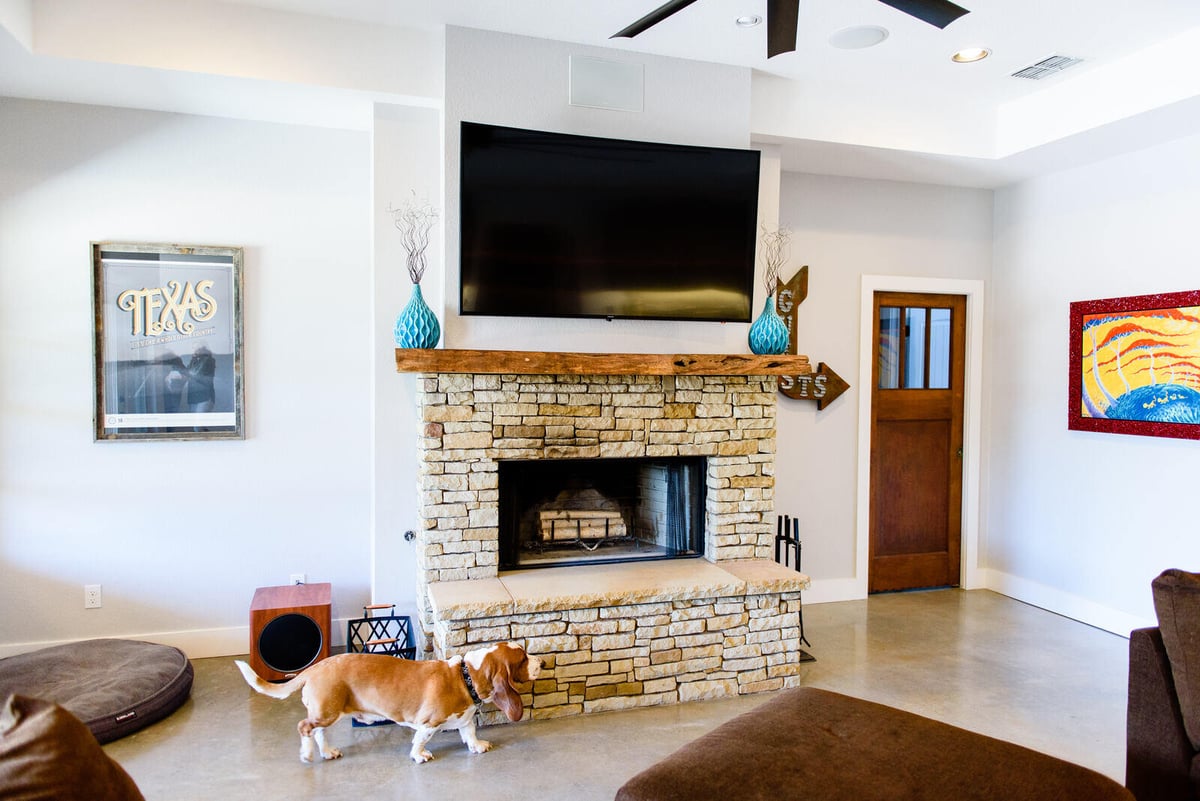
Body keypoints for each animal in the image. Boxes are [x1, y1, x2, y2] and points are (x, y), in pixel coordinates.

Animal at [235, 642, 544, 762]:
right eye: (522, 658)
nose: (542, 663)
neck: (466, 675)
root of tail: (315, 668)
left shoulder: (465, 717)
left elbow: (469, 732)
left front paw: (477, 746)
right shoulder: (429, 722)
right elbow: (420, 740)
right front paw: (420, 755)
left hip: (330, 712)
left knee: (318, 731)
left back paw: (327, 752)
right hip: (326, 711)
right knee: (304, 727)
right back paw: (308, 754)